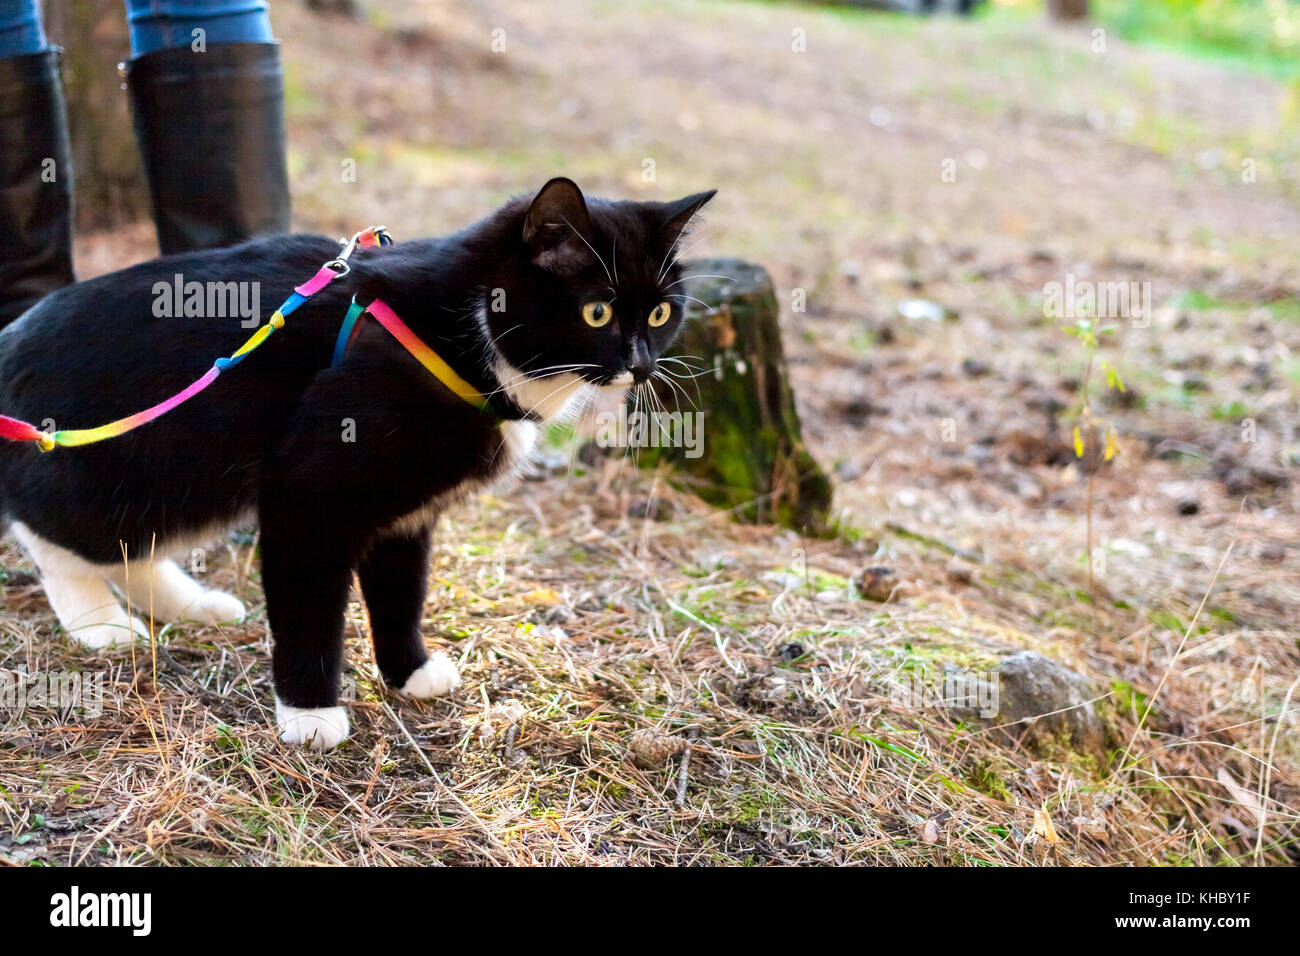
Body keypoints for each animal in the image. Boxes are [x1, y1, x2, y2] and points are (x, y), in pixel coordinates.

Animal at [0, 178, 712, 749]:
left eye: (660, 311)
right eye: (596, 311)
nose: (642, 364)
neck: (460, 334)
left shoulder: (408, 512)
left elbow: (403, 591)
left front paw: (410, 673)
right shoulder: (307, 498)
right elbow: (311, 608)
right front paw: (310, 714)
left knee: (134, 544)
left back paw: (190, 603)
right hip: (124, 464)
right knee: (51, 530)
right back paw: (99, 624)